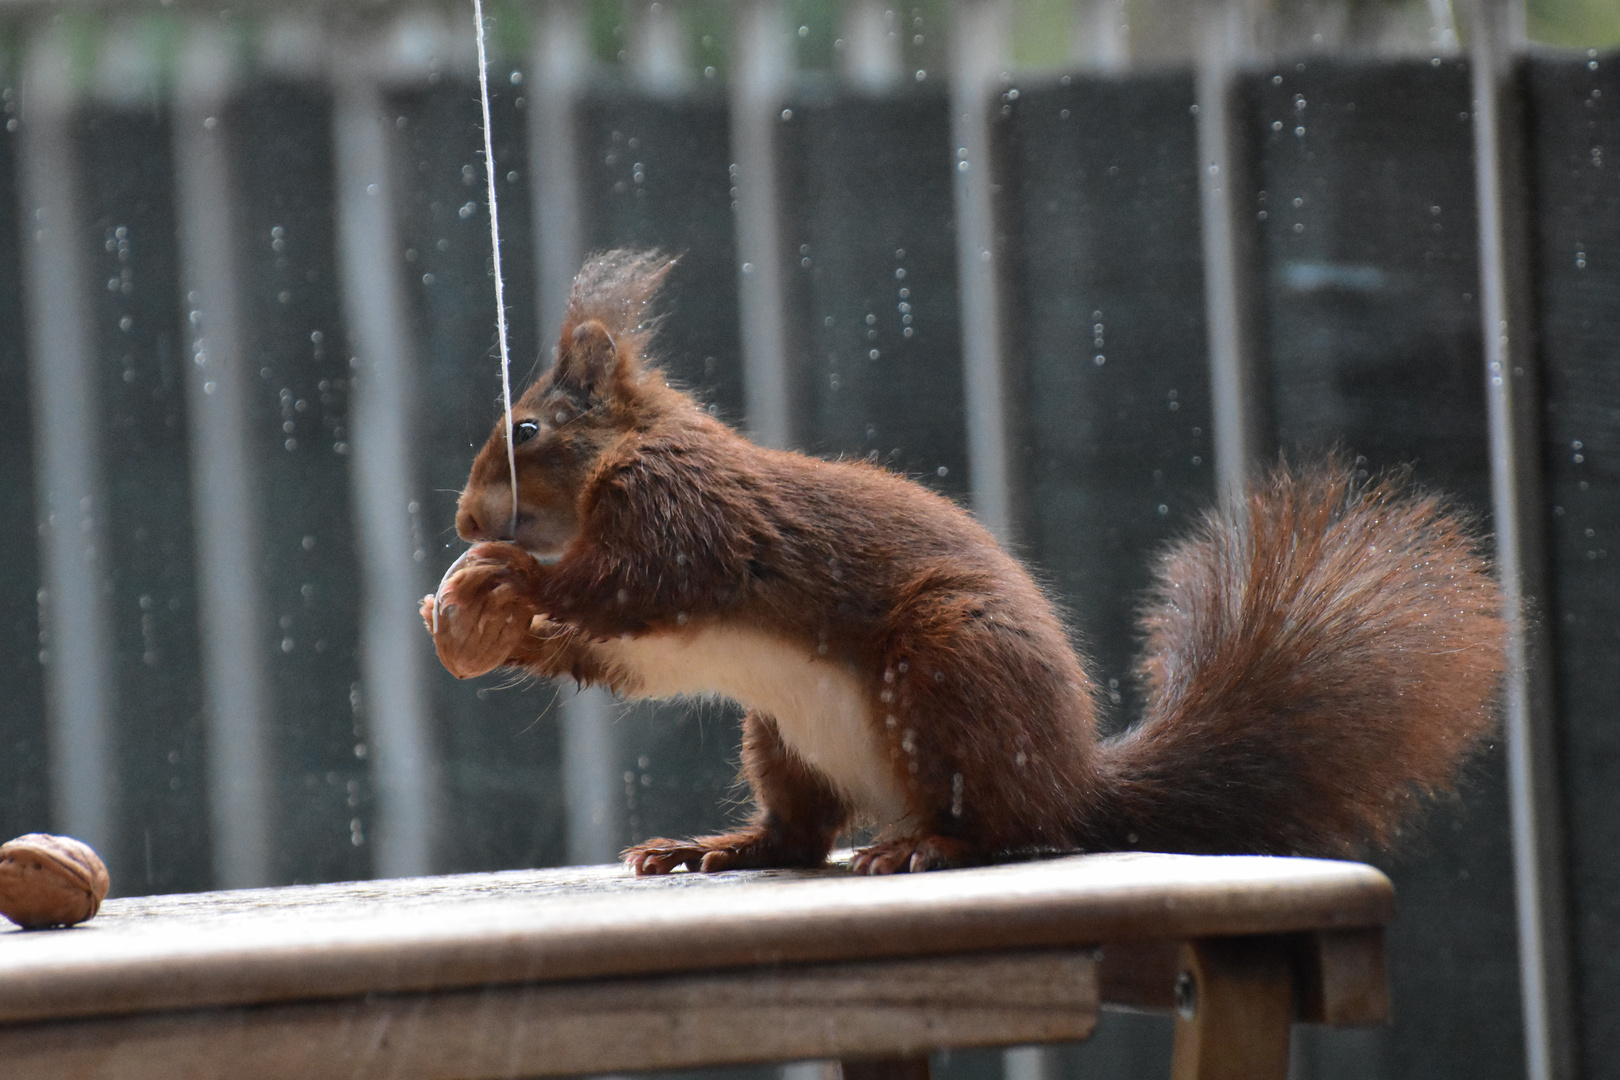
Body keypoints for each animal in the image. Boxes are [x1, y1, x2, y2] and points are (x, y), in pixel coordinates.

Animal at [421, 249, 1503, 874]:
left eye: (526, 430)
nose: (467, 518)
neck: (622, 458)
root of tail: (1078, 781)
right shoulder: (661, 625)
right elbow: (620, 650)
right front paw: (493, 627)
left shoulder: (682, 514)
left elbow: (631, 585)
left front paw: (516, 584)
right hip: (777, 735)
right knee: (802, 836)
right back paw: (714, 848)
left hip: (949, 665)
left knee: (1004, 829)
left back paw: (928, 846)